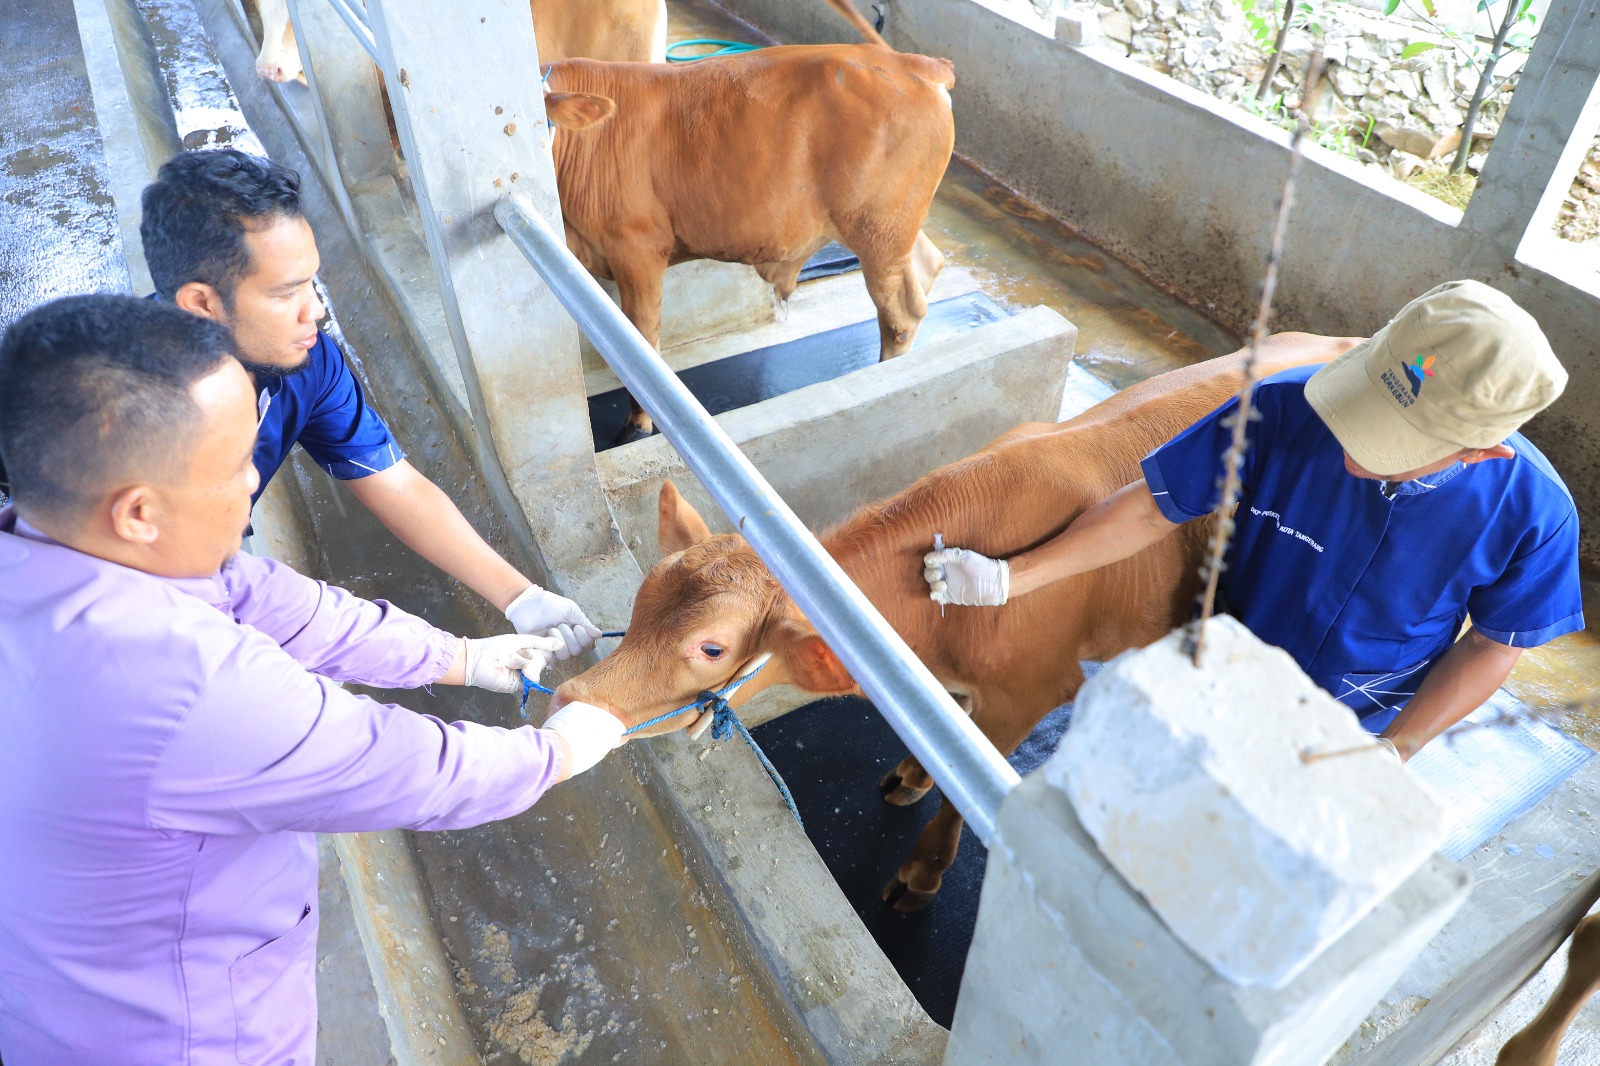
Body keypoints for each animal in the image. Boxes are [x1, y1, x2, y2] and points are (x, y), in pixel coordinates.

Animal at [544, 0, 953, 438]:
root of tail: (915, 62)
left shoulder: (638, 248)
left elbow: (642, 341)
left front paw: (637, 426)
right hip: (891, 223)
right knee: (925, 267)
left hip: (879, 229)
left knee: (900, 314)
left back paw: (884, 375)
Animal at [553, 329, 1363, 902]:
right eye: (641, 599)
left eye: (712, 648)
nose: (571, 695)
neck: (930, 622)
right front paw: (913, 770)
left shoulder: (1035, 689)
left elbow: (962, 790)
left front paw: (922, 871)